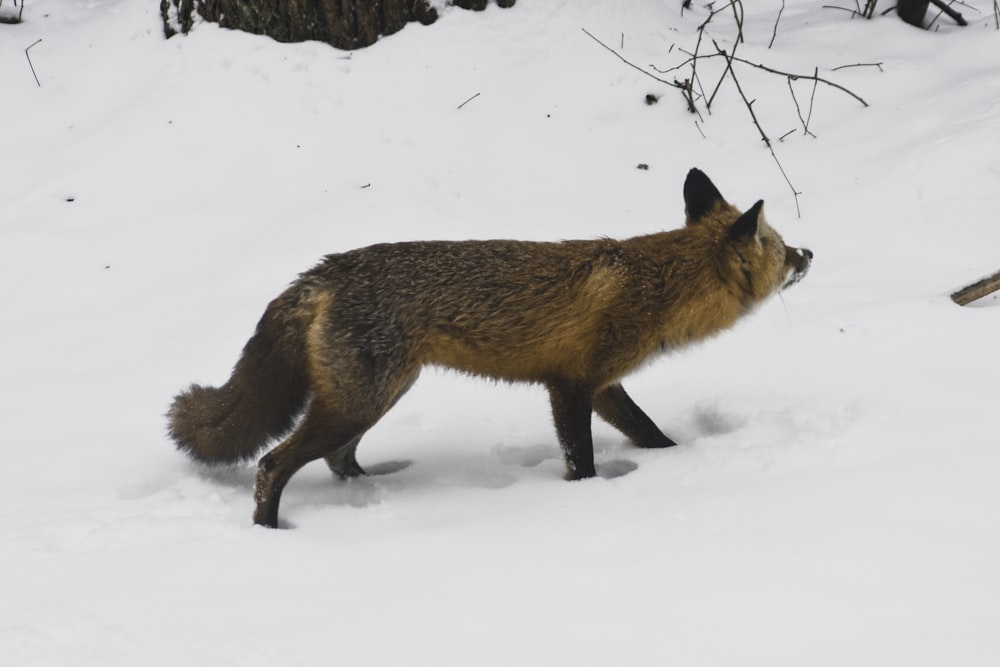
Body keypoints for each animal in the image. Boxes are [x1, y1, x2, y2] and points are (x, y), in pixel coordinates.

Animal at [168, 170, 808, 528]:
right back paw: (271, 535)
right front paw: (589, 500)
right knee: (272, 464)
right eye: (781, 248)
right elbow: (583, 461)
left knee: (338, 460)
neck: (656, 285)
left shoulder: (603, 387)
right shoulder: (570, 386)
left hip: (377, 397)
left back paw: (375, 491)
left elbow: (653, 434)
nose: (811, 254)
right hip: (359, 402)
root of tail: (323, 271)